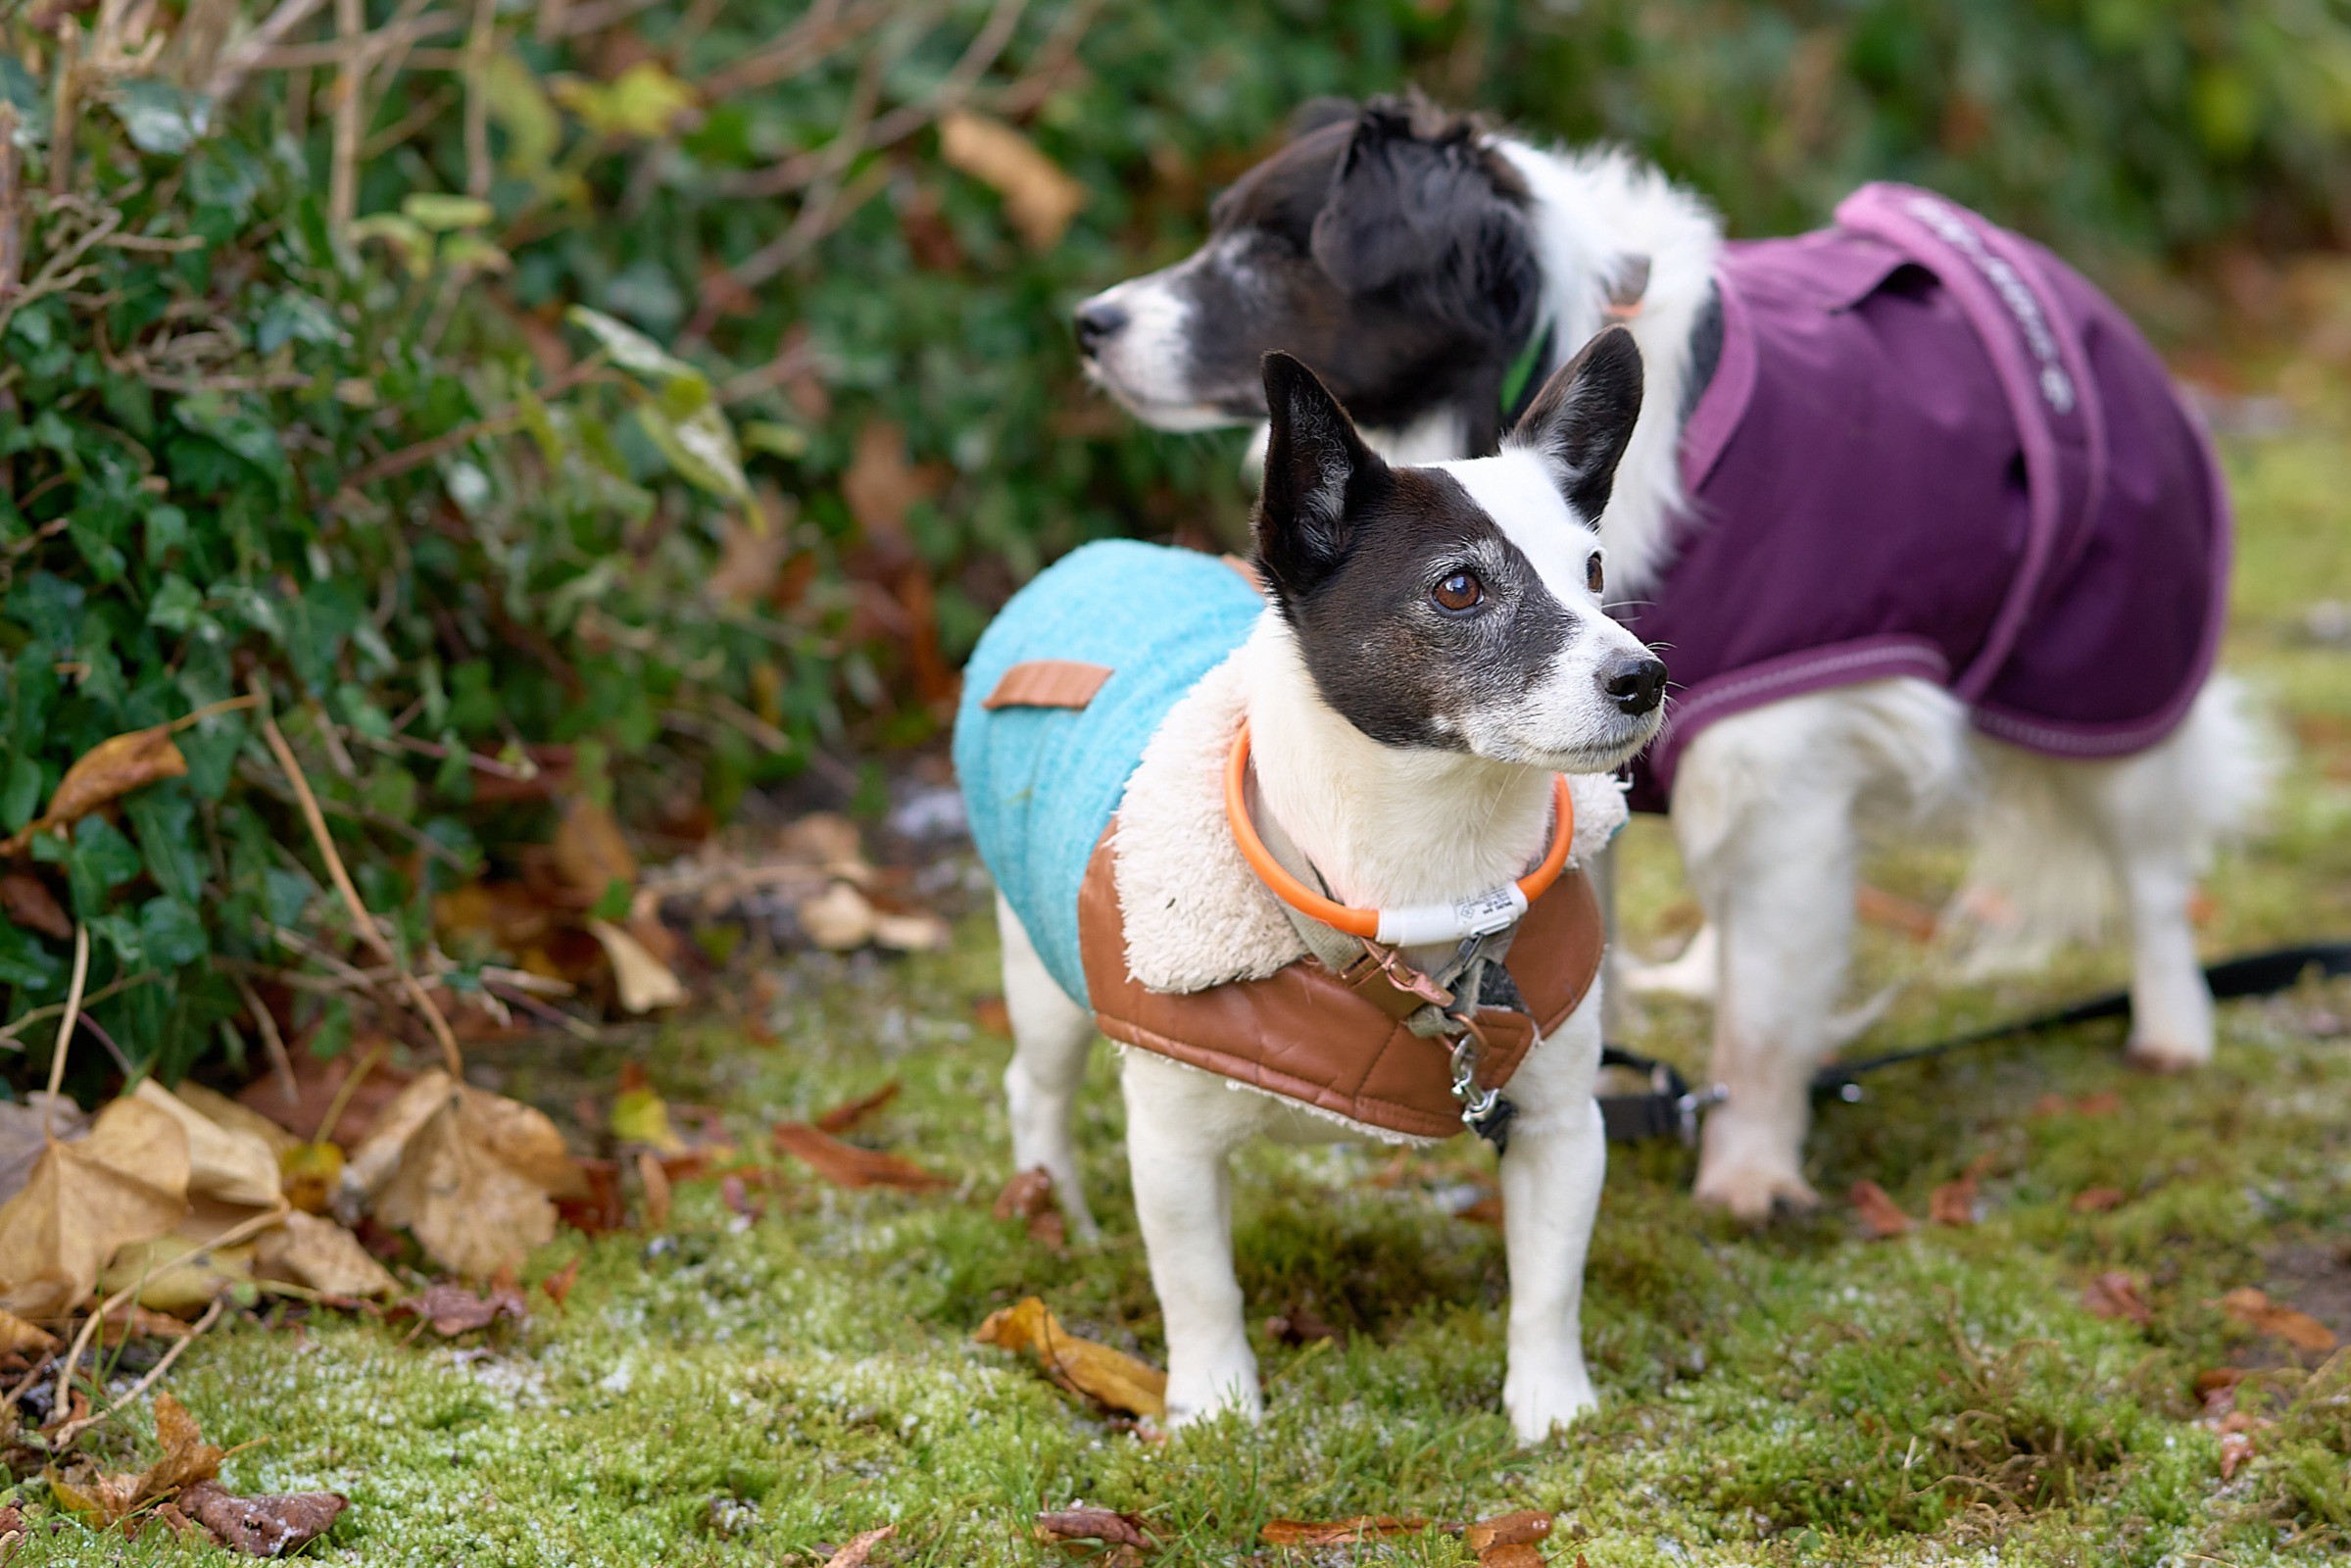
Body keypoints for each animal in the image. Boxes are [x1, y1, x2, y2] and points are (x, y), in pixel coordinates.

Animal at [1076, 95, 2266, 1222]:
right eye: (1218, 227)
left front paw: (1748, 1174)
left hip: (2108, 674)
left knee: (2153, 866)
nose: (1087, 321)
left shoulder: (1781, 772)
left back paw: (2173, 1027)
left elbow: (1764, 1015)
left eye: (1274, 249)